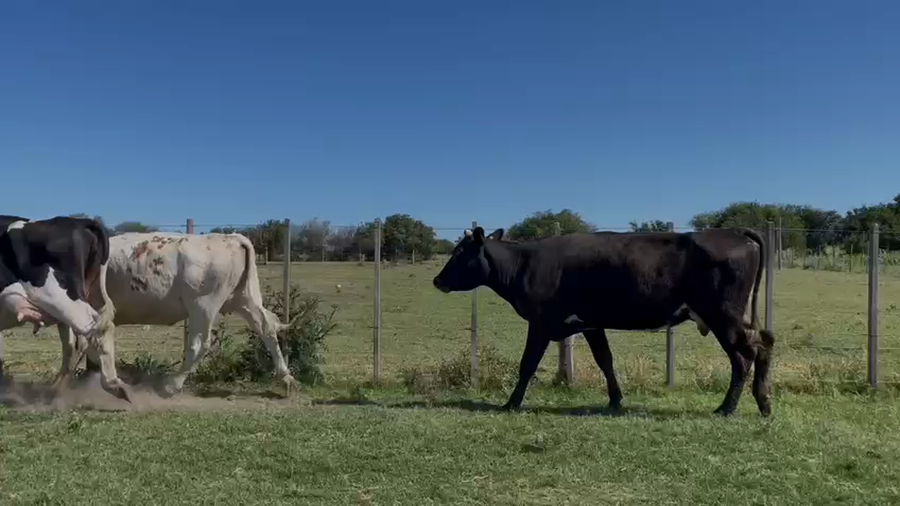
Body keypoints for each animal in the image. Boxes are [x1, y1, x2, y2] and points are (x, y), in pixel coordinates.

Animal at [55, 232, 297, 396]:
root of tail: (231, 238)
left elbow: (76, 345)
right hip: (245, 299)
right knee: (266, 328)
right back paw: (286, 378)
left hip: (202, 305)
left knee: (199, 345)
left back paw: (171, 385)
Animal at [432, 226, 775, 417]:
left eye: (460, 252)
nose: (437, 280)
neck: (524, 263)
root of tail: (734, 232)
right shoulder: (592, 323)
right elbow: (605, 360)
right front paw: (615, 400)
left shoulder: (540, 323)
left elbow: (527, 364)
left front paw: (511, 403)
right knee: (763, 344)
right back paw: (763, 403)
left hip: (722, 315)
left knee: (746, 355)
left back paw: (728, 408)